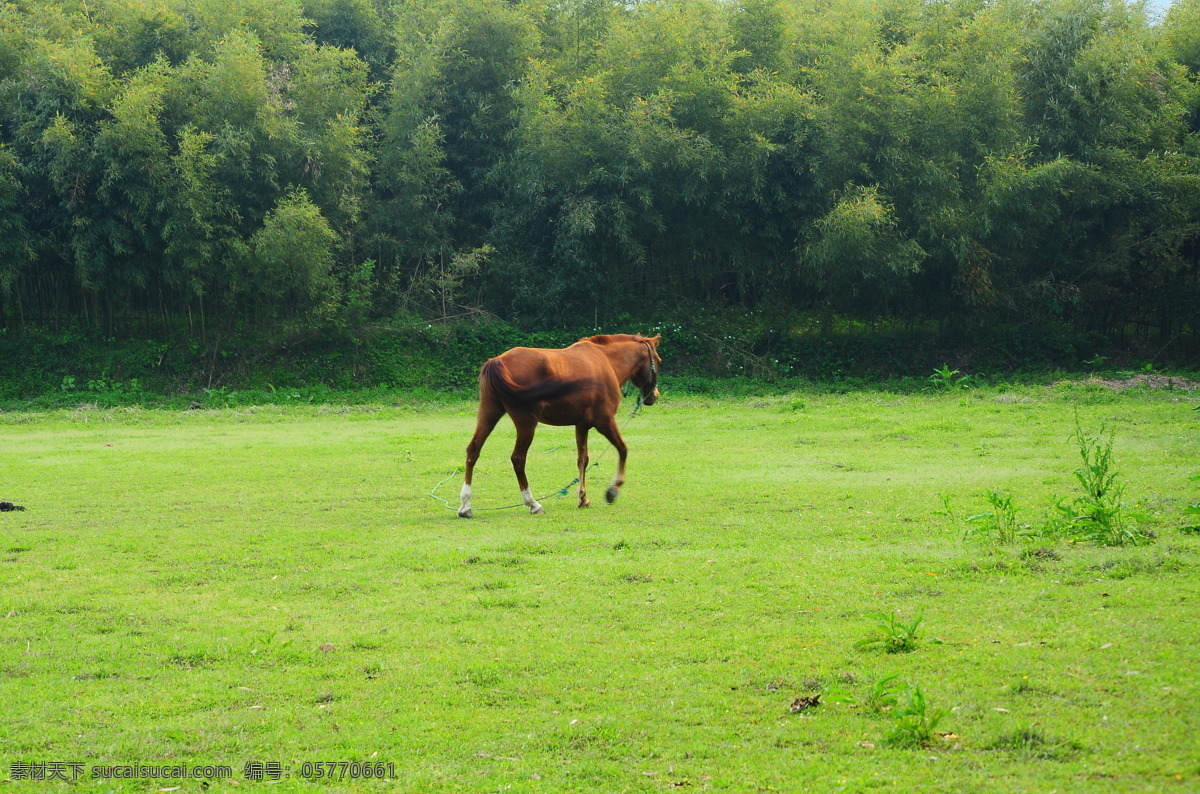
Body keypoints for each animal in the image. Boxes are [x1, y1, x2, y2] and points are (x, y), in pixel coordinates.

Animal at [458, 333, 667, 520]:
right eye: (658, 360)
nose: (654, 396)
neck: (605, 360)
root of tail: (498, 361)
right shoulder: (605, 422)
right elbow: (622, 449)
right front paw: (613, 489)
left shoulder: (581, 426)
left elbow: (583, 460)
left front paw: (583, 498)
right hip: (526, 423)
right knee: (518, 459)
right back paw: (533, 503)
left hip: (489, 414)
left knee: (473, 451)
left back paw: (465, 506)